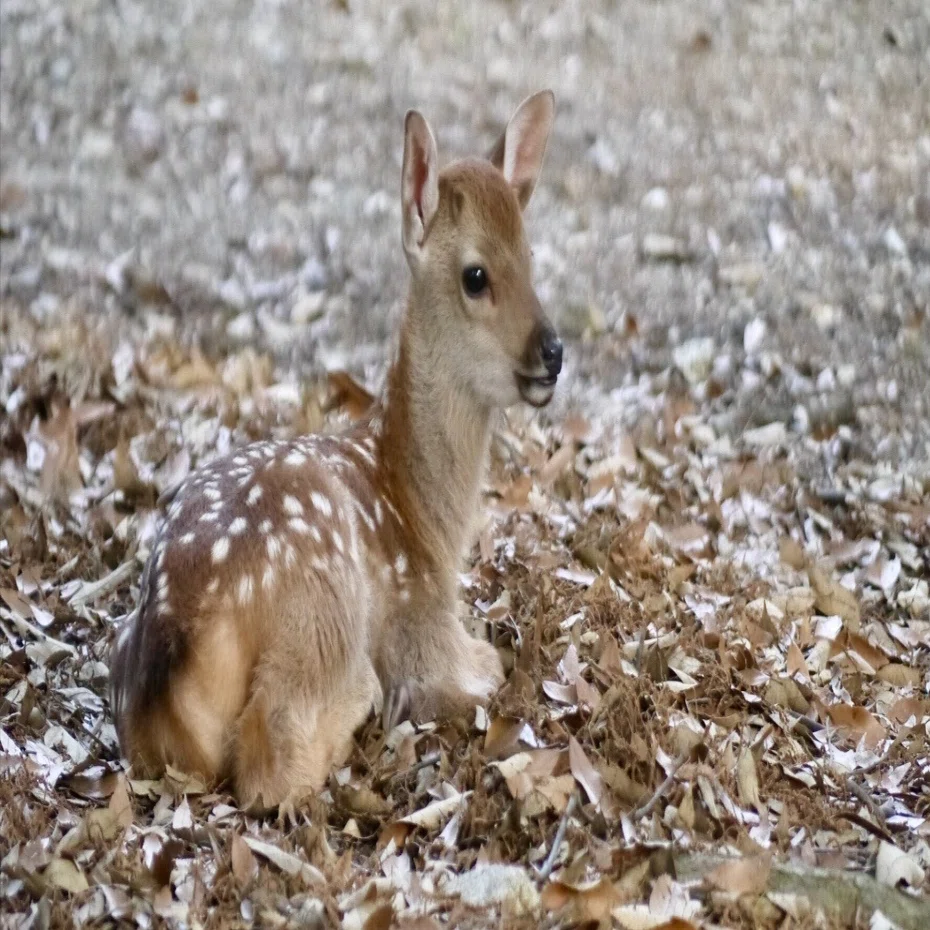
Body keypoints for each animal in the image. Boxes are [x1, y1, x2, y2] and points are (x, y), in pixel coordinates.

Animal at [109, 90, 563, 810]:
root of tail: (181, 638)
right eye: (476, 275)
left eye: (532, 258)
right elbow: (481, 670)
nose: (553, 352)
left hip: (125, 647)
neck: (425, 521)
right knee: (273, 758)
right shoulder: (422, 625)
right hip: (325, 611)